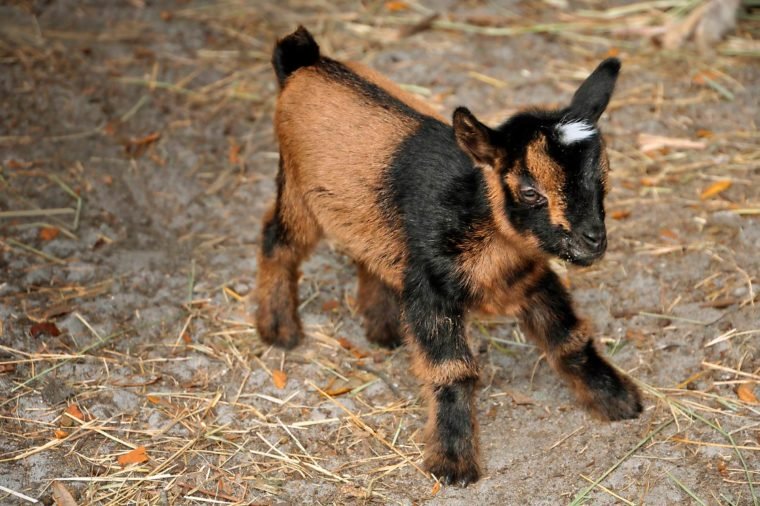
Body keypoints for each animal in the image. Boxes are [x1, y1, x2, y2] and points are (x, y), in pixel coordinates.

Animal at [256, 26, 642, 486]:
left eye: (604, 178)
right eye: (530, 192)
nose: (593, 240)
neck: (479, 219)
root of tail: (305, 62)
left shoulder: (529, 277)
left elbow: (568, 338)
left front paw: (617, 399)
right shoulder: (432, 289)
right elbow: (452, 370)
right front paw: (453, 462)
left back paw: (383, 328)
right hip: (297, 189)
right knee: (278, 242)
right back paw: (279, 329)